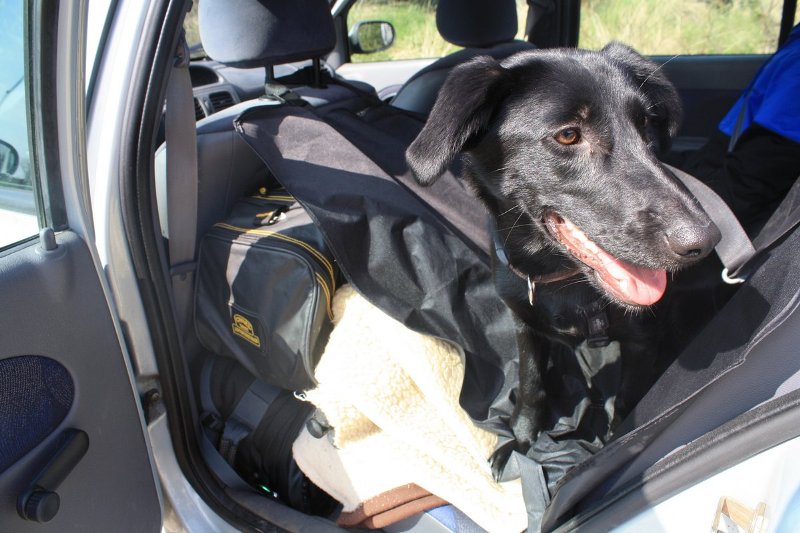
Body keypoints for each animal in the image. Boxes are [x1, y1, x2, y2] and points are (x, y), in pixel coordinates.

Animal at [406, 43, 720, 451]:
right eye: (569, 135)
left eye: (646, 125)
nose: (705, 240)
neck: (561, 278)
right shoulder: (524, 325)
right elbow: (531, 385)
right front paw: (523, 437)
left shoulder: (642, 342)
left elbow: (627, 401)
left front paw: (611, 441)